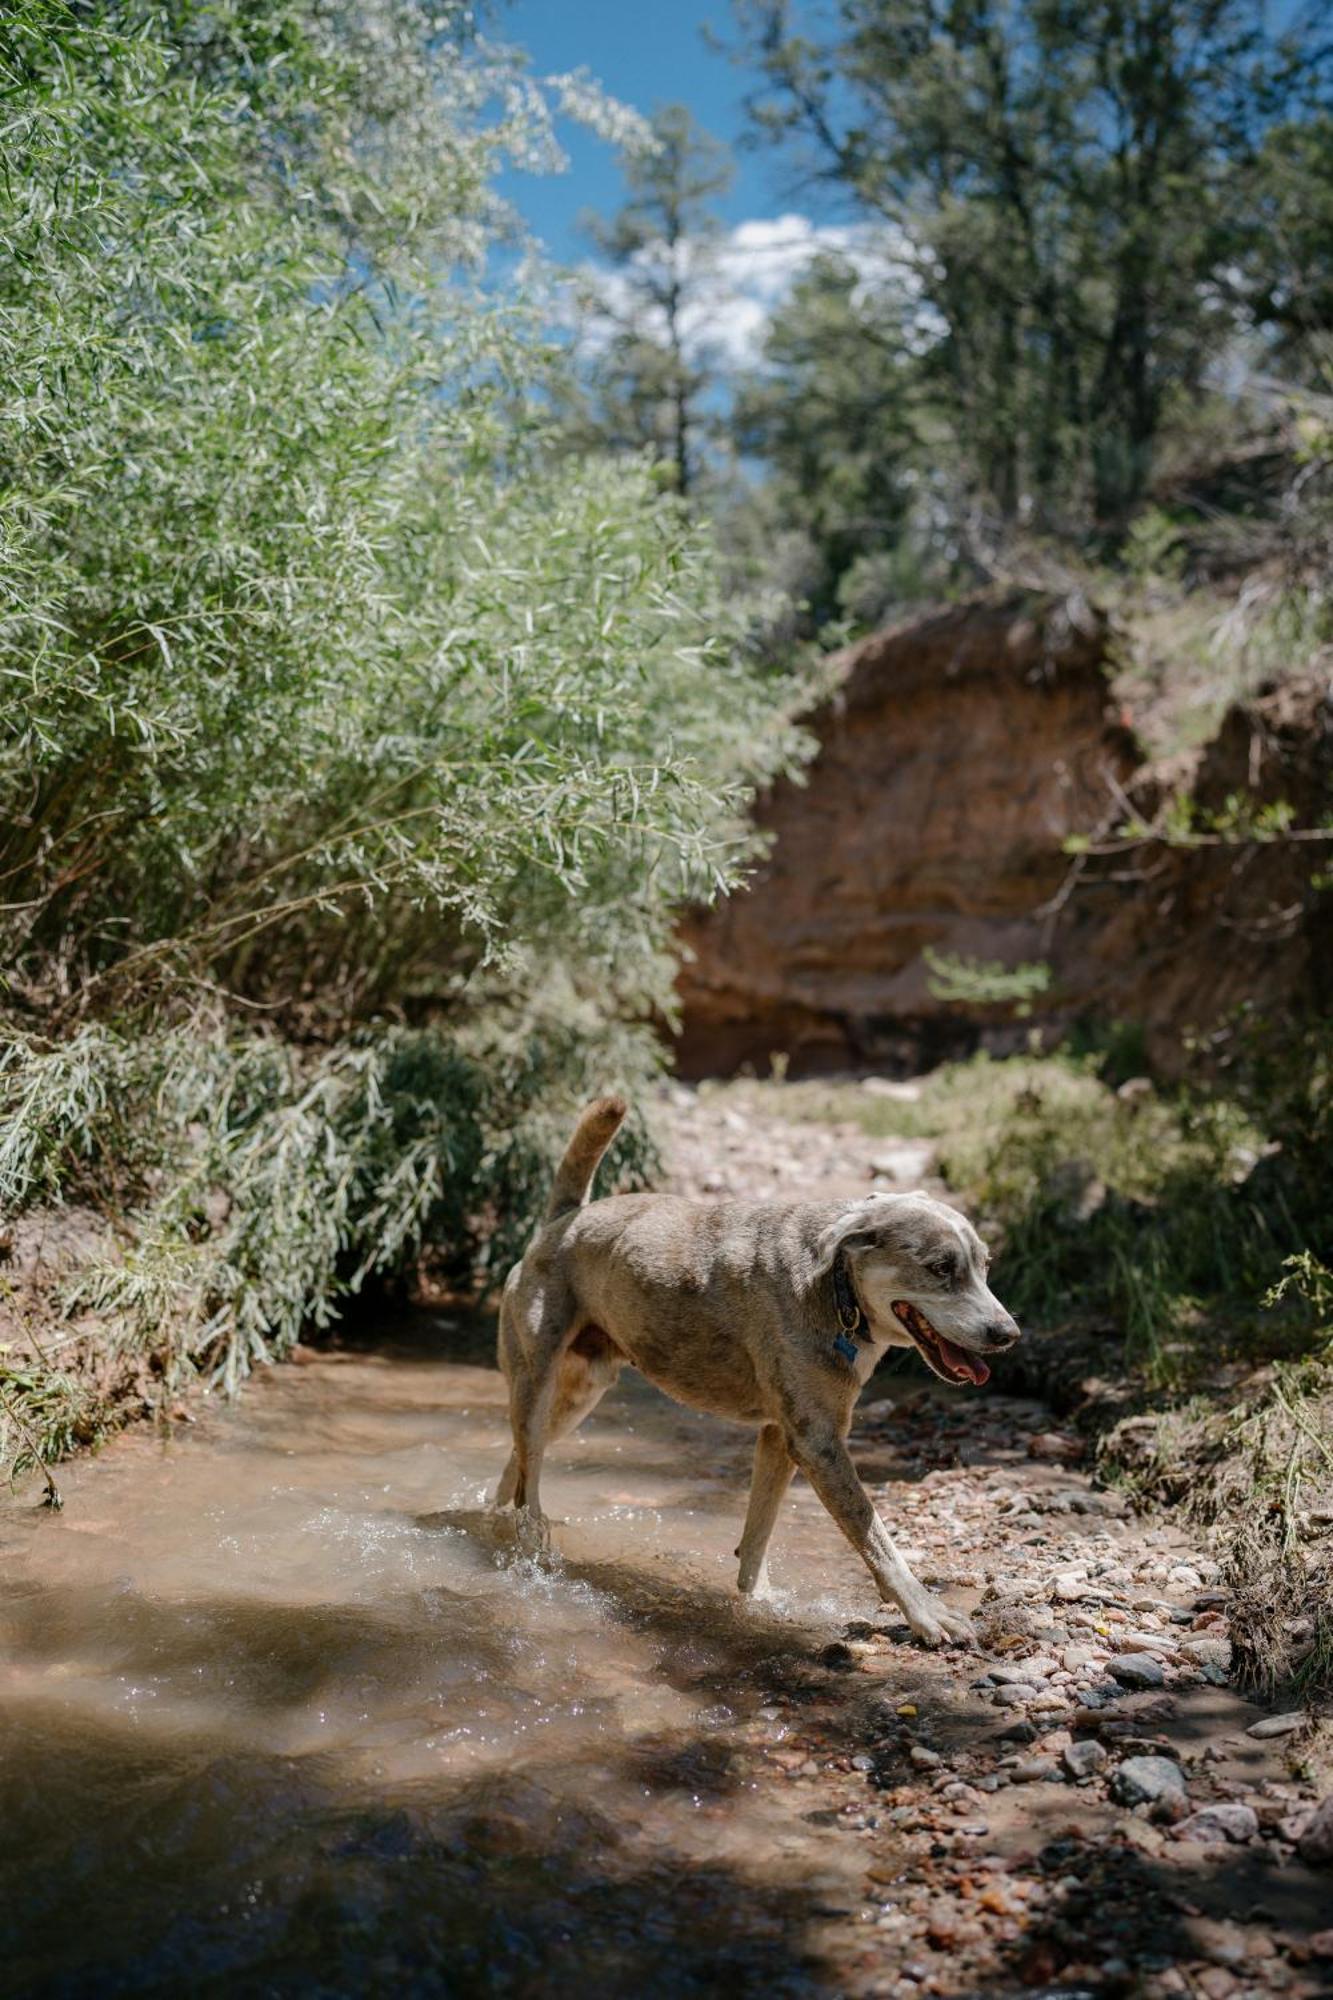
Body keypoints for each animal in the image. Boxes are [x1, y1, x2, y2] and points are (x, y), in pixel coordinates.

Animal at [492, 1096, 1020, 1640]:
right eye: (940, 1268)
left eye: (985, 1265)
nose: (1008, 1333)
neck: (835, 1290)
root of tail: (561, 1222)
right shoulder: (817, 1443)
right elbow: (871, 1530)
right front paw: (925, 1611)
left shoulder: (781, 1435)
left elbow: (758, 1535)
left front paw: (760, 1602)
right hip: (537, 1381)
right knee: (528, 1481)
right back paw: (532, 1549)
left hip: (577, 1396)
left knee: (518, 1464)